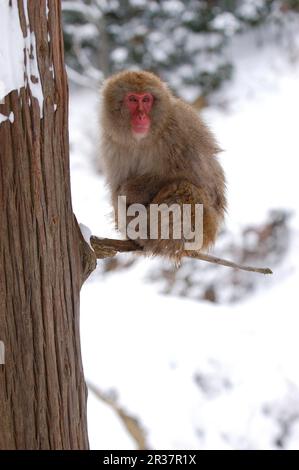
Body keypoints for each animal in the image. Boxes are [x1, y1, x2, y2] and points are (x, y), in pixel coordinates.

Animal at [99, 70, 226, 262]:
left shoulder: (181, 129)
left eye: (146, 99)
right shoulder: (112, 145)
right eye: (132, 99)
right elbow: (116, 192)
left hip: (205, 227)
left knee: (186, 190)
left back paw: (151, 237)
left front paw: (132, 190)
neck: (143, 140)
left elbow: (202, 180)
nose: (141, 116)